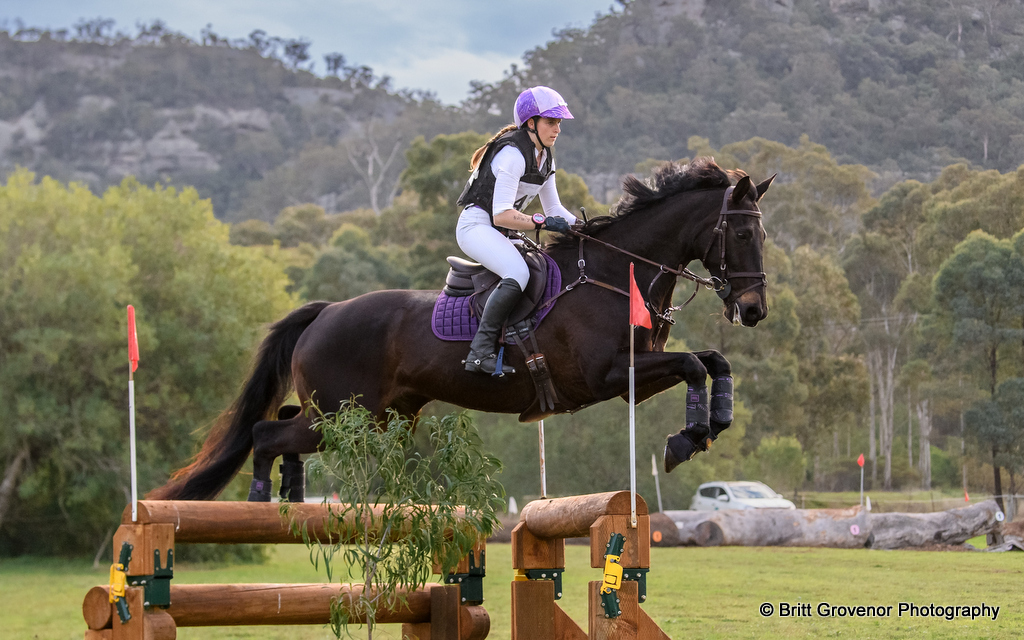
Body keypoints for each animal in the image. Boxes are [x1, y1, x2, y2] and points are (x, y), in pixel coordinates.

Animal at [150, 158, 773, 501]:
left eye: (762, 235)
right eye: (743, 234)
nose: (754, 310)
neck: (615, 275)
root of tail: (325, 311)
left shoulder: (633, 380)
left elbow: (712, 361)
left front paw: (709, 425)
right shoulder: (608, 376)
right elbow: (694, 363)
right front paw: (685, 440)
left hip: (373, 418)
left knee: (279, 424)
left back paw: (289, 497)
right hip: (343, 416)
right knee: (264, 433)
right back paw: (261, 501)